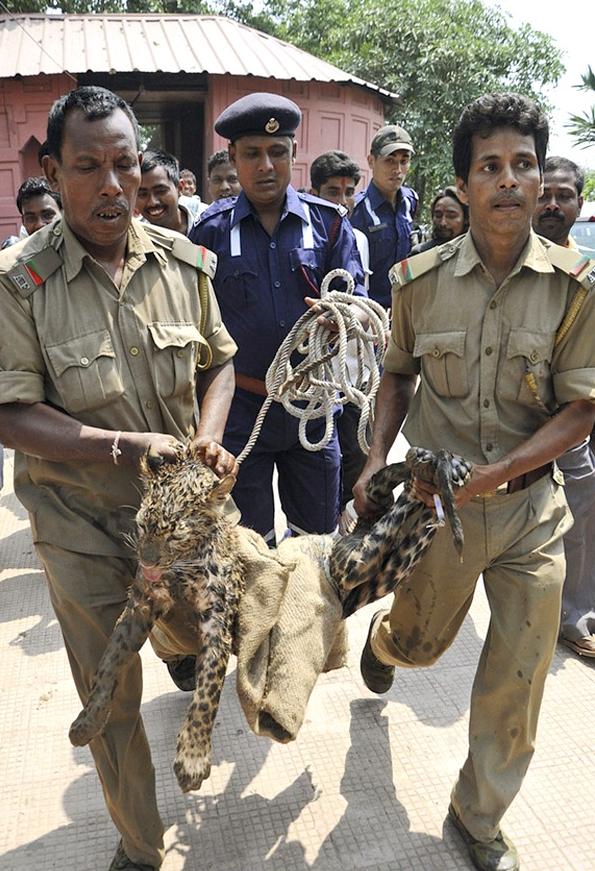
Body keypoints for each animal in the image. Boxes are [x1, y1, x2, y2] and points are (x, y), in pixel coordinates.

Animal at [68, 441, 243, 793]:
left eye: (174, 535)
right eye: (141, 525)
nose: (147, 563)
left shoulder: (216, 624)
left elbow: (206, 694)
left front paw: (192, 759)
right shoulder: (140, 606)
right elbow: (108, 663)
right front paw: (88, 721)